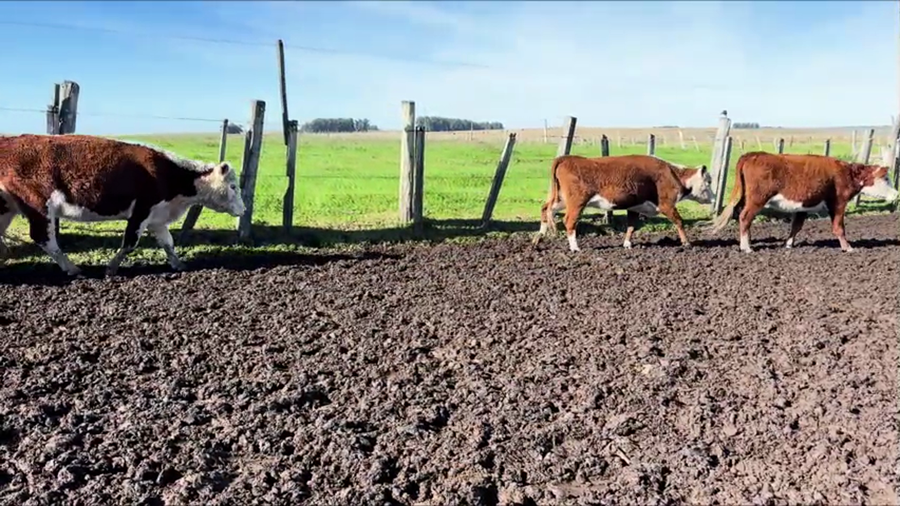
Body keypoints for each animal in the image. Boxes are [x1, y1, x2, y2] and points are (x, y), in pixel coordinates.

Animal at [0, 134, 245, 277]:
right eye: (233, 186)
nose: (243, 210)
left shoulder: (157, 217)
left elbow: (168, 243)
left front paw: (178, 264)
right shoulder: (142, 210)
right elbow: (130, 243)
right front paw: (111, 268)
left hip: (8, 207)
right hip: (39, 206)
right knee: (44, 238)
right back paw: (72, 268)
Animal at [532, 154, 714, 251]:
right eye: (708, 182)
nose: (713, 198)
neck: (672, 174)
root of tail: (566, 158)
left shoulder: (634, 206)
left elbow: (631, 226)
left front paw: (627, 244)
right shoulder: (666, 204)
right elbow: (679, 221)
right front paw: (686, 242)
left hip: (560, 199)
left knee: (546, 210)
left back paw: (538, 239)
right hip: (576, 202)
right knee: (569, 220)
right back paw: (575, 247)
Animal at [709, 151, 899, 252]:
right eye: (886, 178)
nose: (896, 194)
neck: (846, 174)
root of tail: (754, 155)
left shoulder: (803, 206)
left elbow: (796, 226)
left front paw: (788, 244)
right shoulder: (838, 203)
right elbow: (839, 227)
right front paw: (848, 247)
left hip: (746, 198)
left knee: (740, 216)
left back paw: (748, 240)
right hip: (757, 199)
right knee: (744, 217)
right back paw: (746, 247)